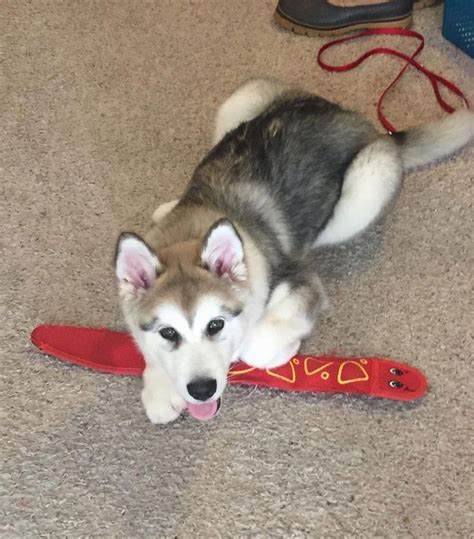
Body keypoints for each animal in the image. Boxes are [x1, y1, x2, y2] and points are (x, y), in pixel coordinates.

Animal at [115, 78, 474, 424]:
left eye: (216, 325)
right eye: (168, 332)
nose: (202, 390)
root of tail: (360, 122)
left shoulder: (301, 281)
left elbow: (257, 344)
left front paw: (286, 351)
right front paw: (159, 389)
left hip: (368, 180)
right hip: (244, 98)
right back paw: (169, 205)